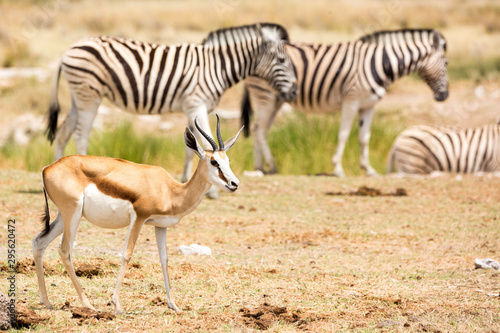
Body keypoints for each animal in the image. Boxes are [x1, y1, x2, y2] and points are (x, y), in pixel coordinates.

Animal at [47, 23, 296, 189]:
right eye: (282, 60)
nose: (294, 92)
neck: (217, 66)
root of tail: (67, 51)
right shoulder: (197, 103)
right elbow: (205, 142)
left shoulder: (190, 107)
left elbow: (192, 147)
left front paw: (186, 179)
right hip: (89, 95)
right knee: (81, 135)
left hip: (78, 97)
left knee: (62, 134)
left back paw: (59, 172)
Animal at [241, 27, 450, 176]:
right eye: (446, 63)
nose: (445, 96)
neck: (380, 63)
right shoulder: (352, 100)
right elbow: (343, 134)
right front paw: (338, 169)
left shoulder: (369, 105)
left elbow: (364, 138)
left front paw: (369, 170)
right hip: (265, 96)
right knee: (258, 129)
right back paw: (270, 166)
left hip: (277, 99)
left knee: (261, 130)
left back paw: (260, 168)